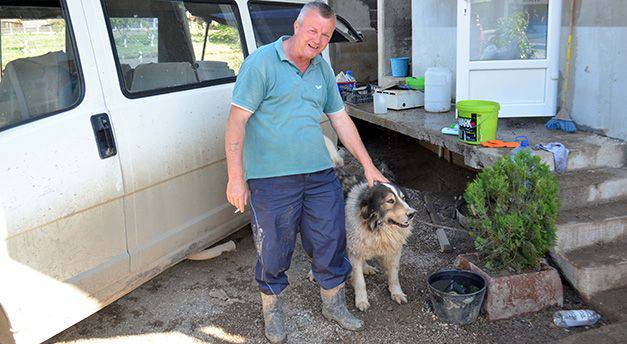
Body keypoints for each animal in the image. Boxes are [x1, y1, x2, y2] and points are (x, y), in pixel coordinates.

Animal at [324, 136, 418, 312]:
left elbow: (394, 275)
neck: (377, 228)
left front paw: (396, 293)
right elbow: (360, 280)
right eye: (390, 201)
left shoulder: (394, 251)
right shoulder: (354, 250)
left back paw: (366, 267)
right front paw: (361, 300)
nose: (412, 214)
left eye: (403, 198)